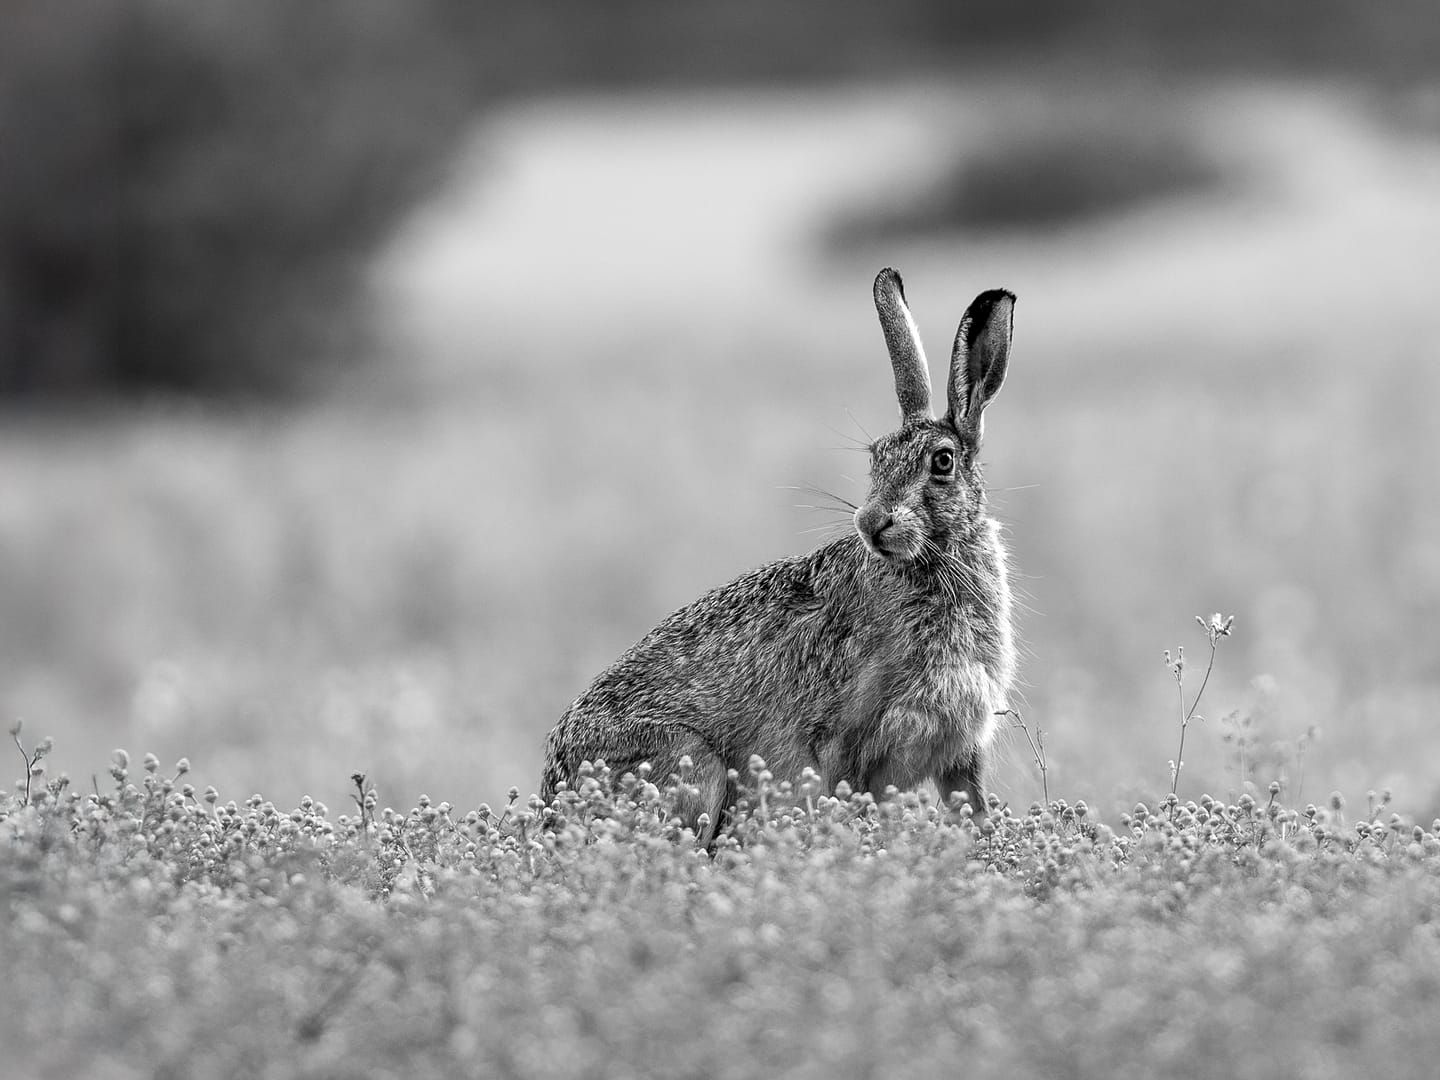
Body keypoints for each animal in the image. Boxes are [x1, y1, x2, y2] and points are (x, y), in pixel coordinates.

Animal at [541, 268, 1017, 843]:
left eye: (942, 461)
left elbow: (974, 811)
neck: (931, 562)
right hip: (694, 766)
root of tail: (554, 799)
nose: (870, 522)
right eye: (875, 458)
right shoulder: (846, 740)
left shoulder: (959, 751)